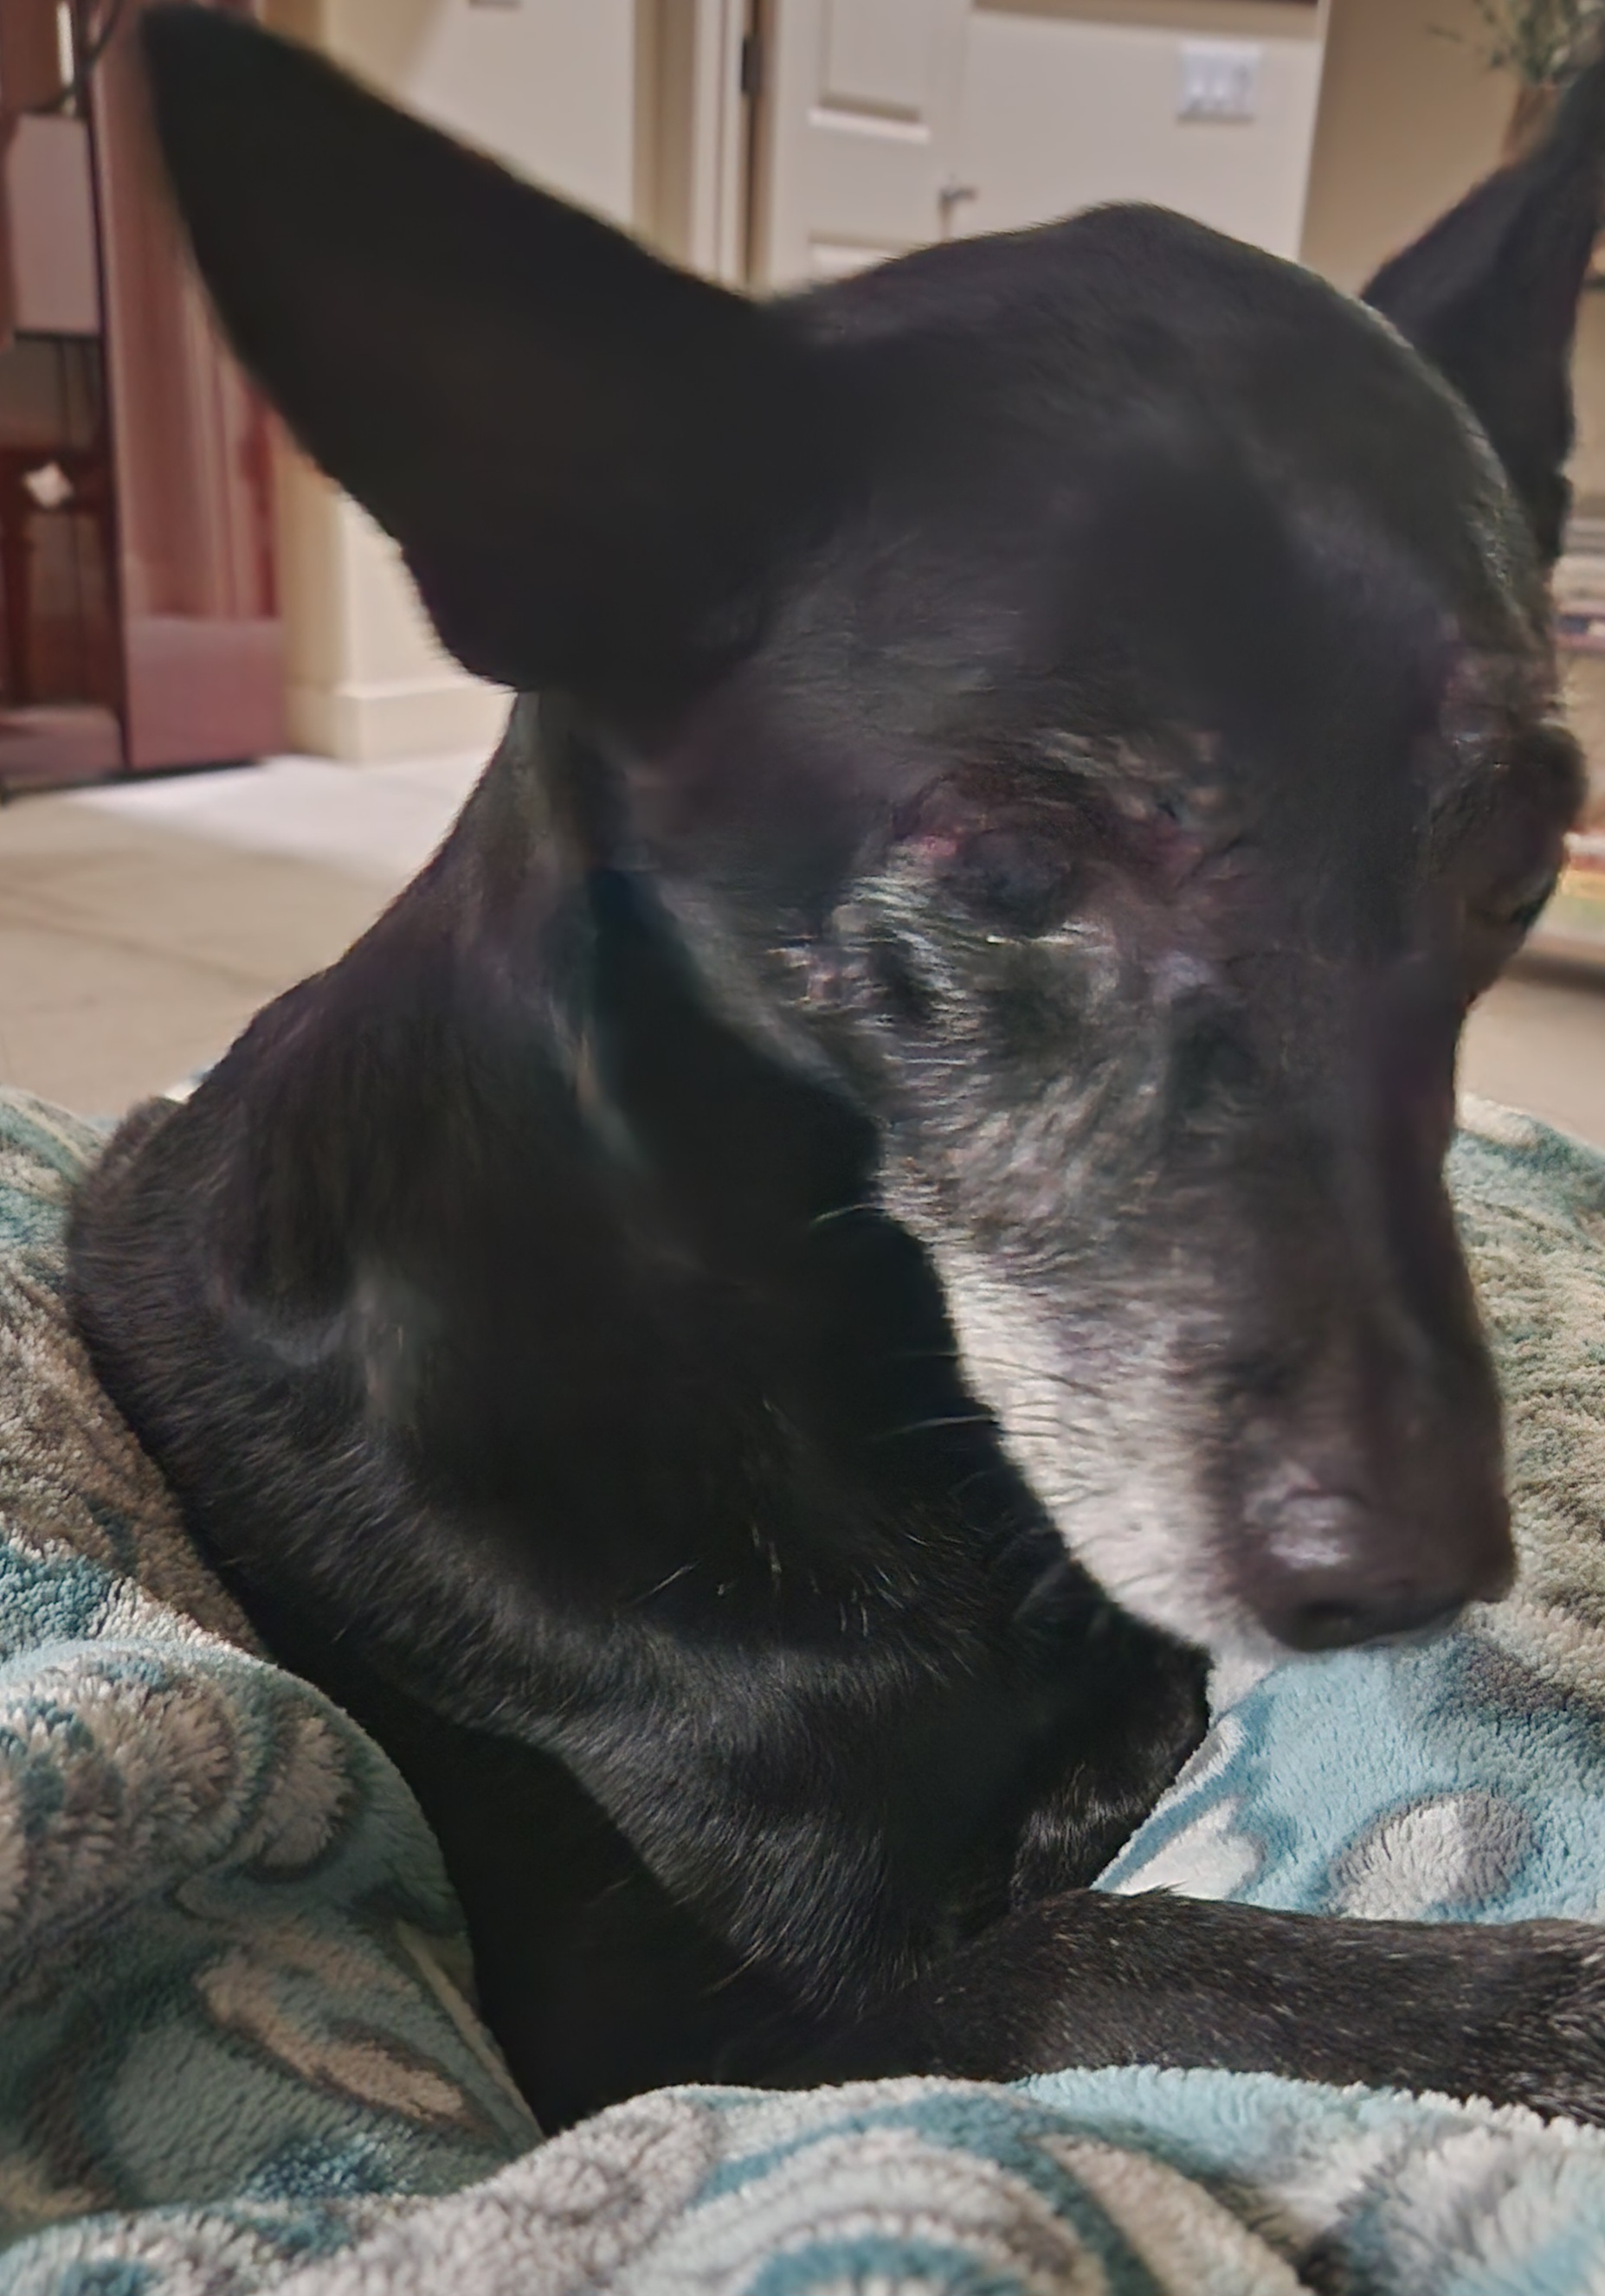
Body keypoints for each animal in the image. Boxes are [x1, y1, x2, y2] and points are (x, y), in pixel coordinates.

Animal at [69, 6, 1605, 2133]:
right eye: (1018, 867)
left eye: (1521, 861)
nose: (1412, 1580)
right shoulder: (663, 2057)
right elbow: (1100, 1948)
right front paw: (1517, 2006)